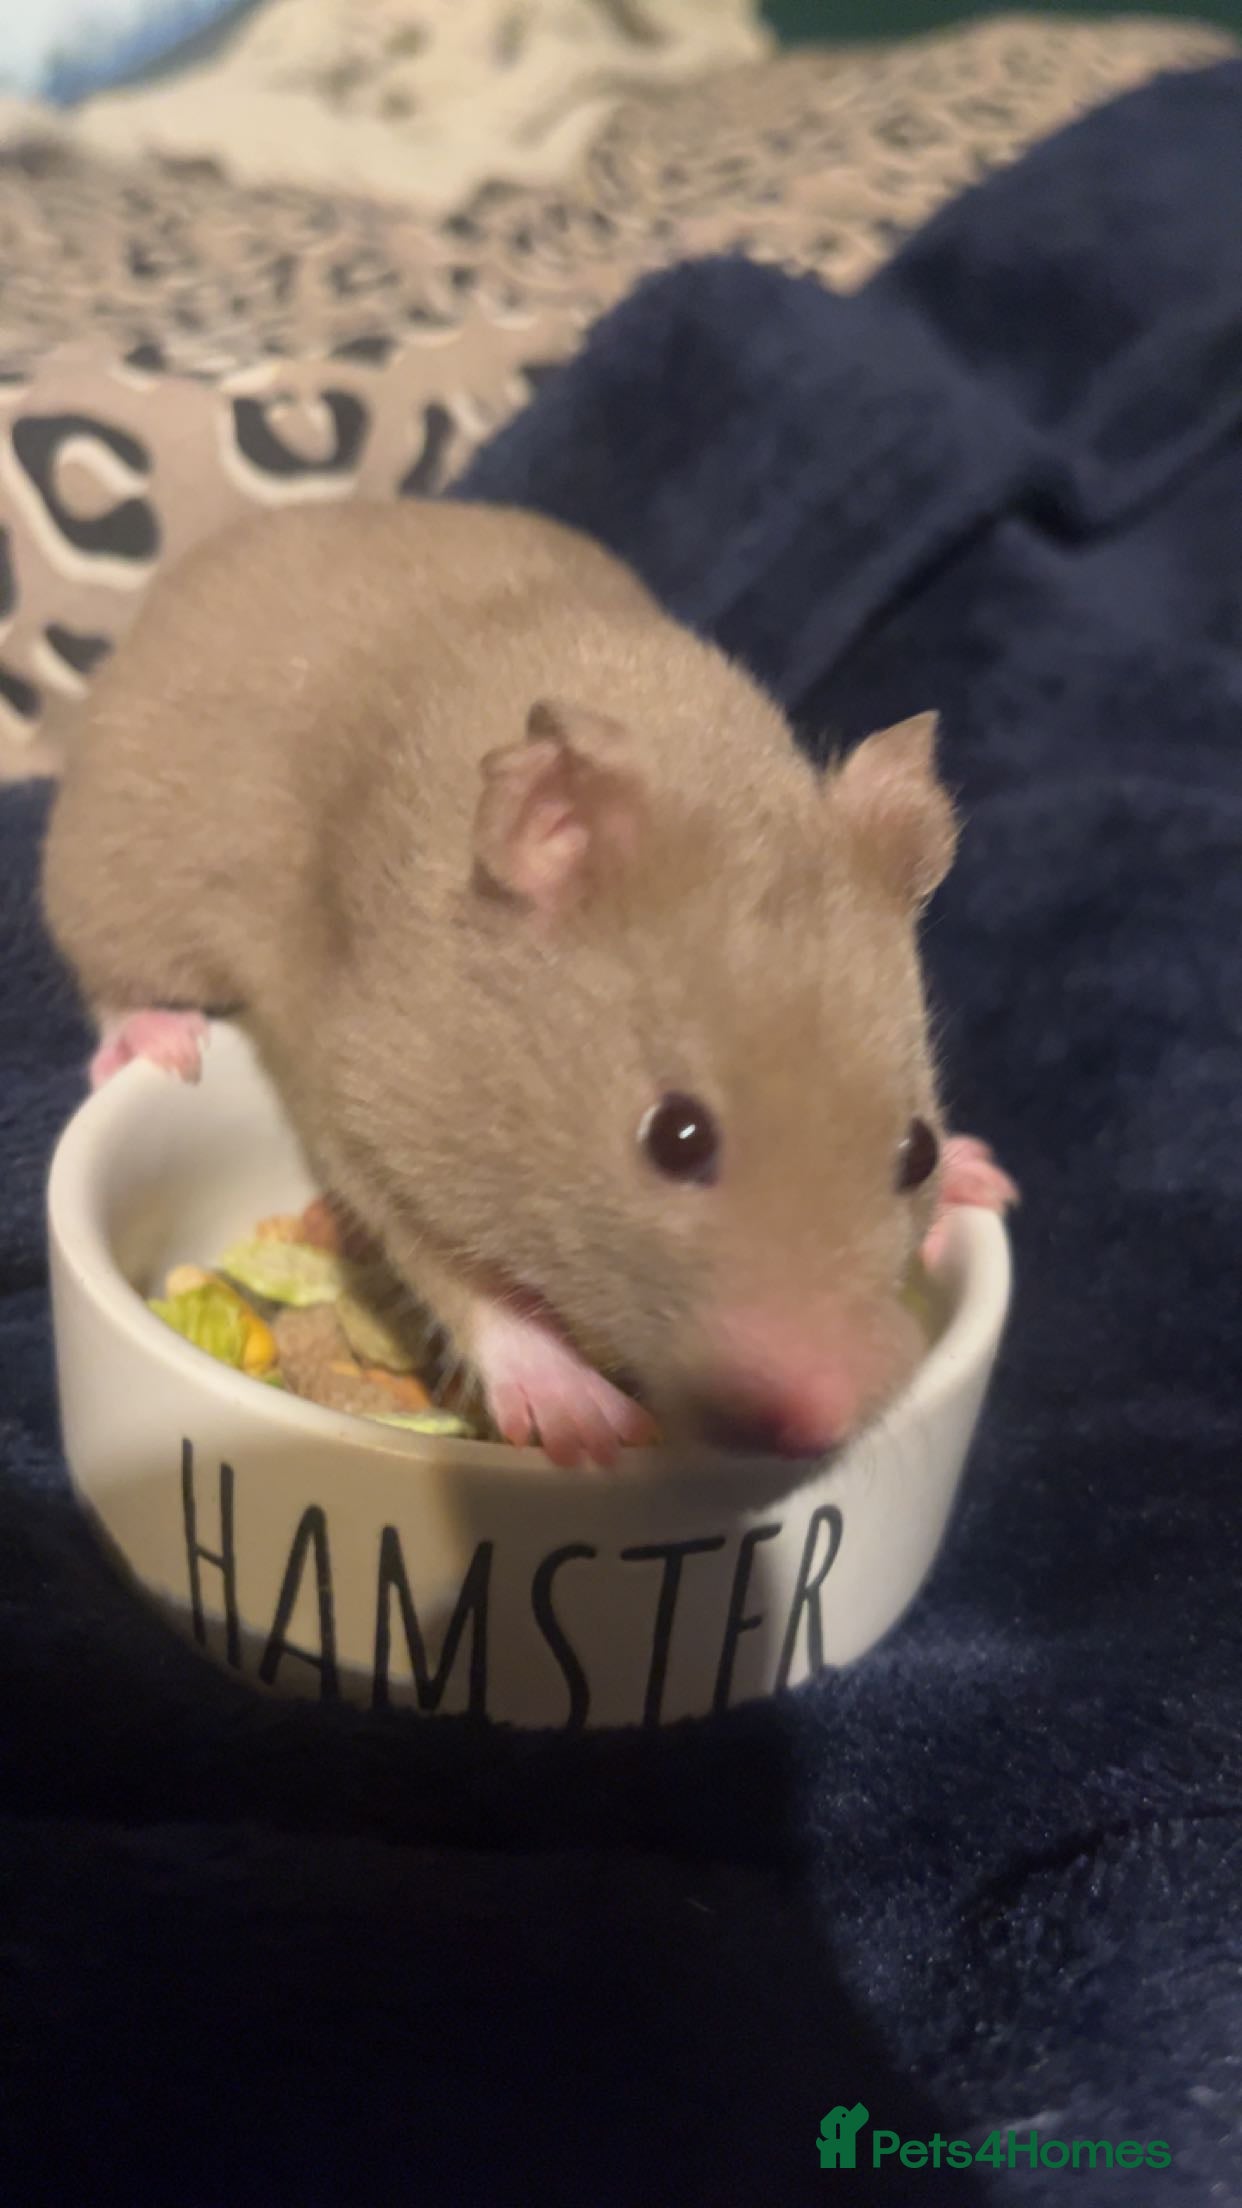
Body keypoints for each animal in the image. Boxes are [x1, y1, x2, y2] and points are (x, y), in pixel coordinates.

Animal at [42, 498, 1016, 1469]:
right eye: (676, 1138)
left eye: (917, 1150)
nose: (821, 1425)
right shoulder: (368, 1109)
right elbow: (461, 1281)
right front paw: (589, 1425)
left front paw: (984, 1179)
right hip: (115, 869)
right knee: (106, 972)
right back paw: (164, 1039)